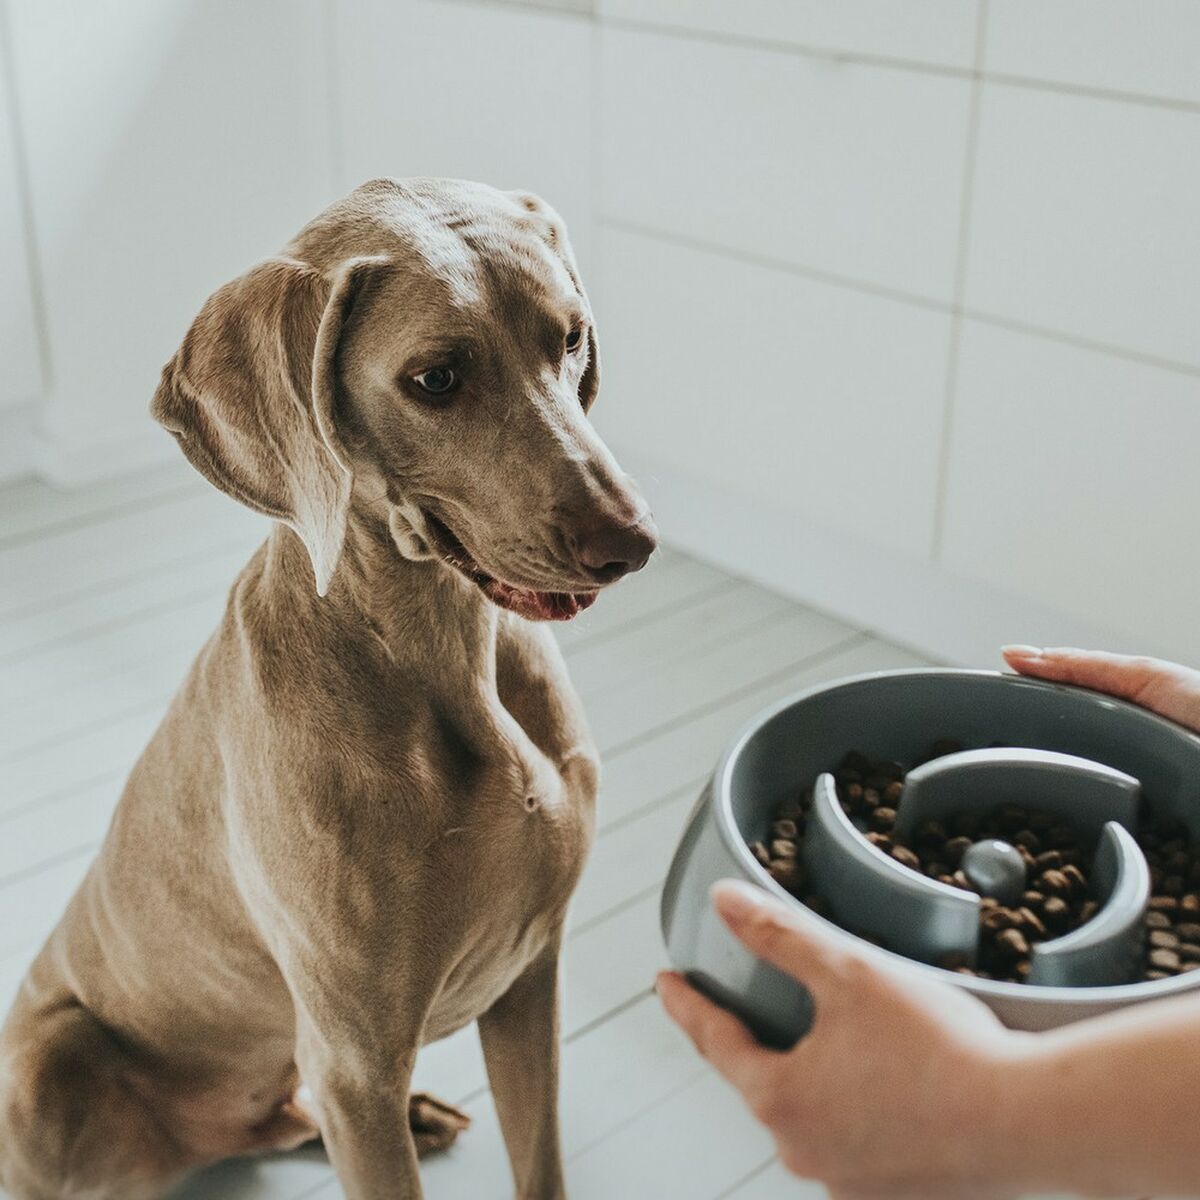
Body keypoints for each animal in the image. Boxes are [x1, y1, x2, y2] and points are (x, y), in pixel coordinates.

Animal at [0, 177, 657, 1200]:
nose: (631, 542)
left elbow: (541, 1162)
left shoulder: (529, 982)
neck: (443, 650)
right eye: (436, 379)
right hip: (50, 1064)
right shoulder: (357, 1063)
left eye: (572, 338)